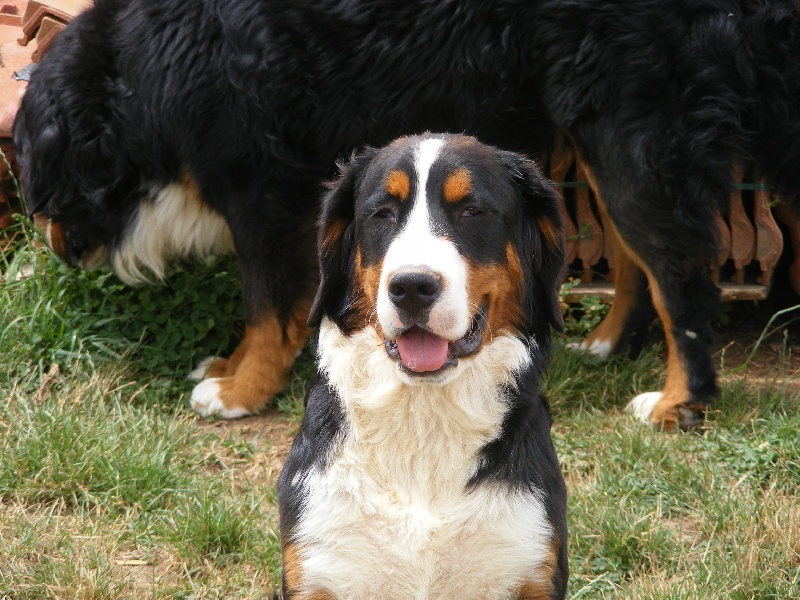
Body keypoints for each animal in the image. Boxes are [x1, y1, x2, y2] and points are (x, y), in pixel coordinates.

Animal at [14, 0, 800, 432]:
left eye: (34, 179)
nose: (46, 241)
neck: (138, 72)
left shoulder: (268, 187)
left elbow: (269, 305)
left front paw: (241, 391)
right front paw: (227, 366)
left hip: (635, 124)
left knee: (676, 269)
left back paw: (679, 402)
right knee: (637, 256)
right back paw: (607, 342)